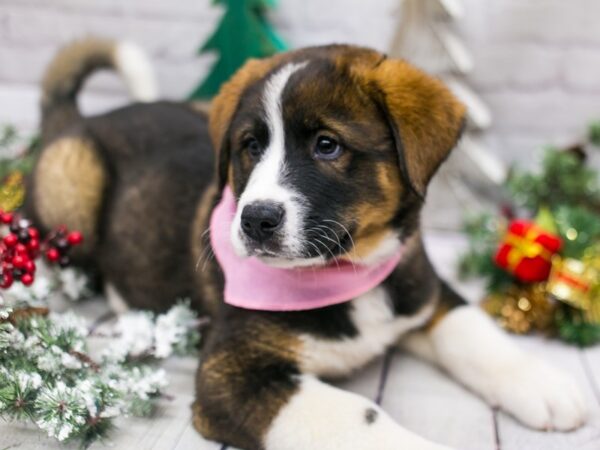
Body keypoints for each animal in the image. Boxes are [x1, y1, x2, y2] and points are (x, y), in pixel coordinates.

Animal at [28, 38, 584, 450]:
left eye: (327, 145)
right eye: (250, 146)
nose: (255, 220)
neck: (351, 270)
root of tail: (78, 120)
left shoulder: (421, 289)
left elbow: (475, 332)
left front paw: (548, 387)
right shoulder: (233, 375)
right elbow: (359, 415)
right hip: (71, 185)